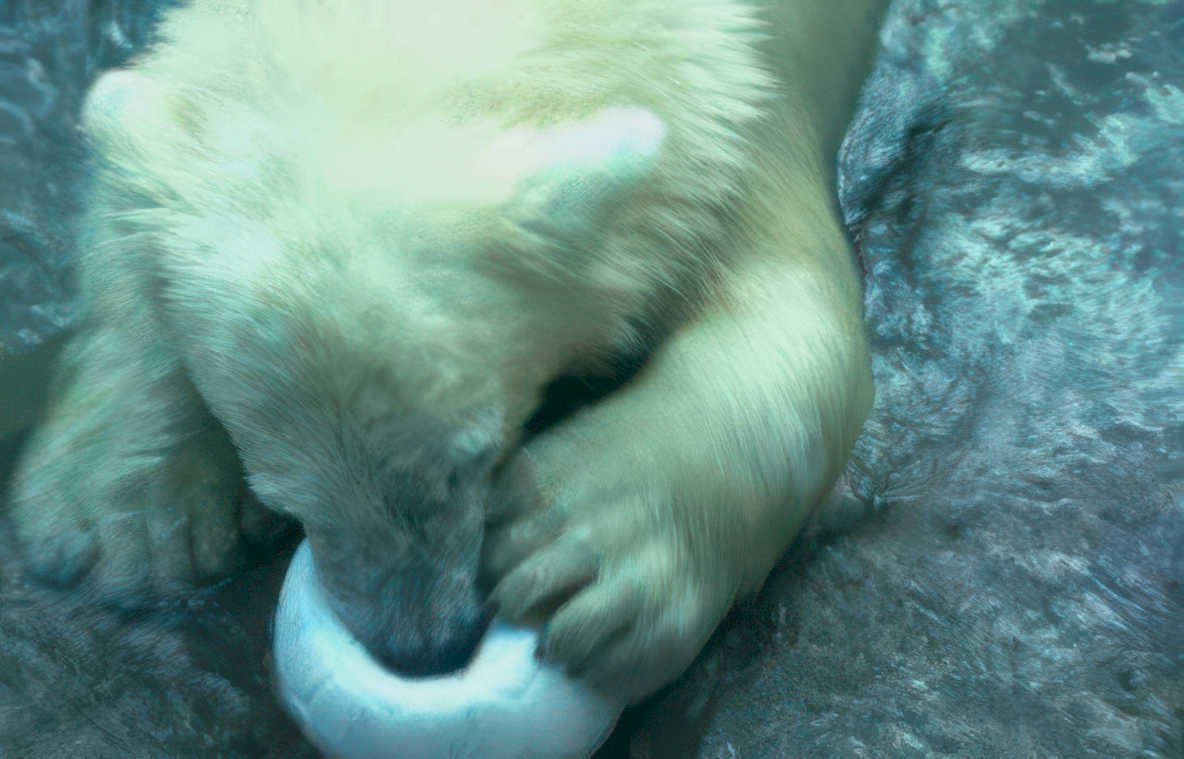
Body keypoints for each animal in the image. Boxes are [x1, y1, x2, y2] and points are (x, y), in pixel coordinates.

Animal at [7, 0, 885, 703]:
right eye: (284, 490)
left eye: (472, 458)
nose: (422, 649)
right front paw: (129, 513)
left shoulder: (736, 112)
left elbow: (794, 317)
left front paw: (576, 554)